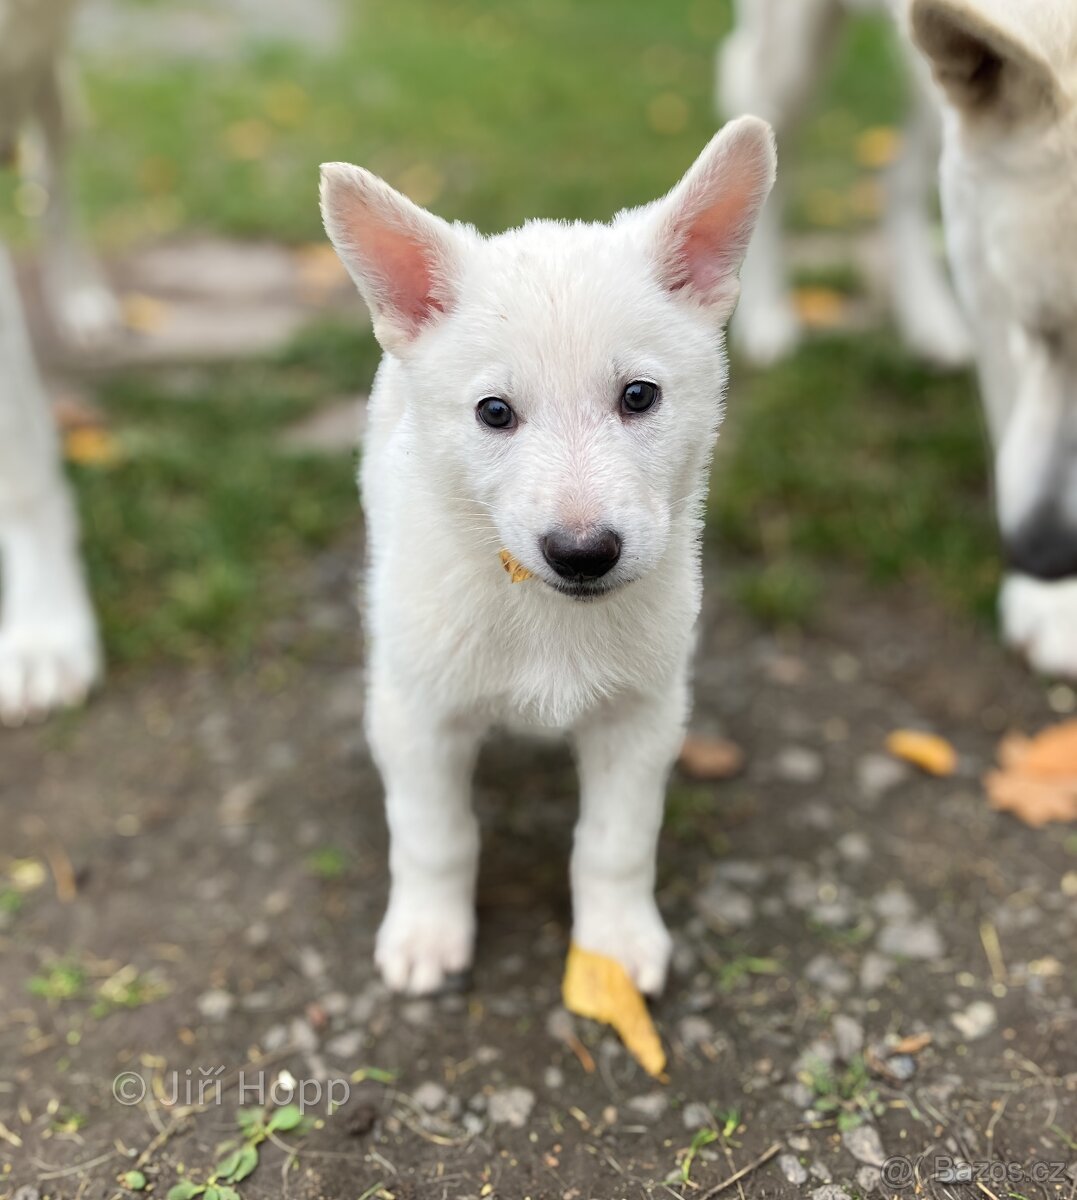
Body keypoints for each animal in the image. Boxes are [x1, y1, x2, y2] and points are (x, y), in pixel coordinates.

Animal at [319, 114, 772, 993]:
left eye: (639, 396)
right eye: (494, 412)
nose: (583, 553)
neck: (536, 609)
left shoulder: (641, 716)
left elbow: (614, 845)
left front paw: (613, 945)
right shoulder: (418, 715)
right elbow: (434, 836)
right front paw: (427, 933)